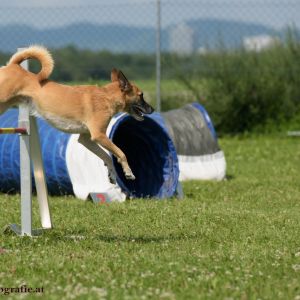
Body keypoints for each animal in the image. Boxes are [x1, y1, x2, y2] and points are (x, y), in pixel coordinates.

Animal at [0, 45, 154, 182]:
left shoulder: (87, 139)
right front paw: (129, 173)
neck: (107, 97)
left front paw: (112, 175)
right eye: (141, 95)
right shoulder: (99, 136)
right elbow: (121, 153)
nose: (152, 109)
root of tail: (14, 66)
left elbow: (107, 156)